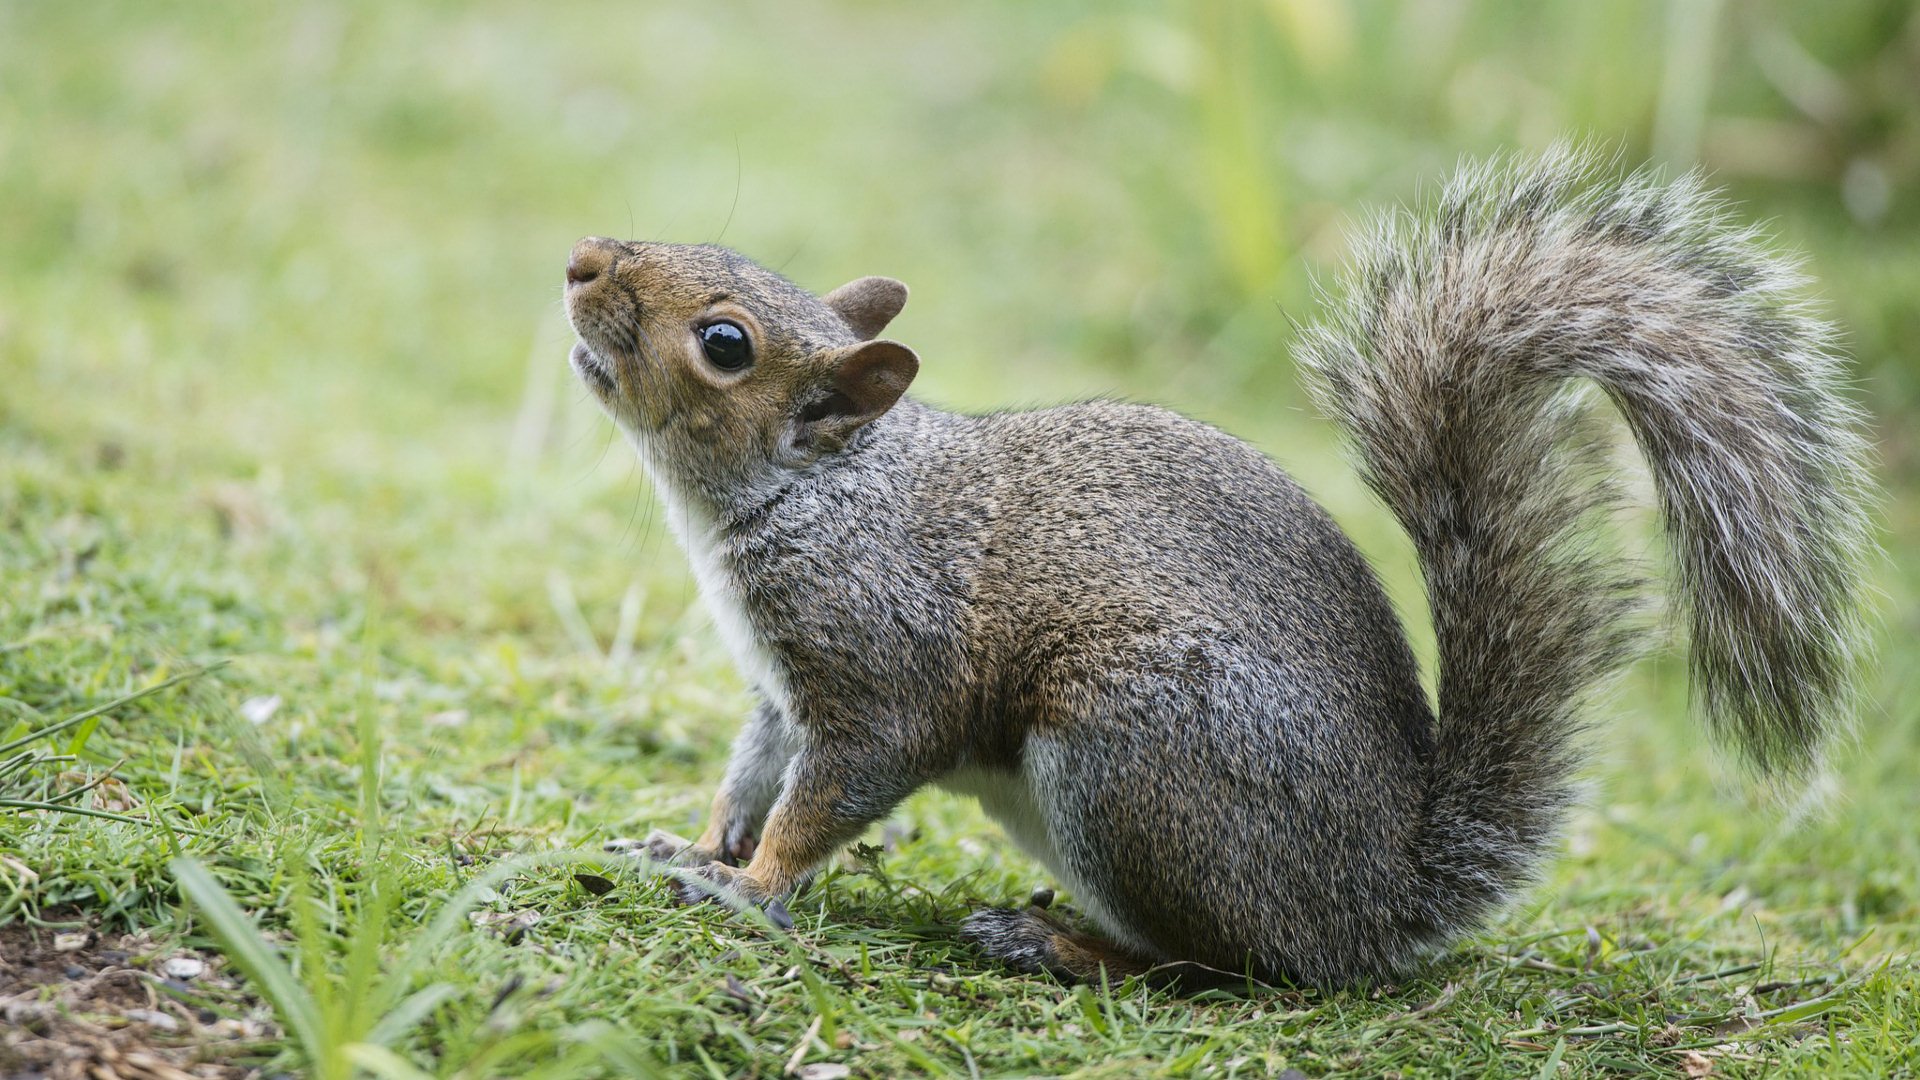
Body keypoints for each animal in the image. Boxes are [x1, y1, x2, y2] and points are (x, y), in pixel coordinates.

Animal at [560, 148, 1866, 983]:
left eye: (724, 343)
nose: (581, 258)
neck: (820, 493)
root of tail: (1377, 901)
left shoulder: (884, 658)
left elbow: (835, 789)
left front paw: (752, 890)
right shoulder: (779, 688)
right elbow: (753, 775)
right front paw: (699, 847)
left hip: (1131, 754)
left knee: (1228, 966)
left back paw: (1062, 947)